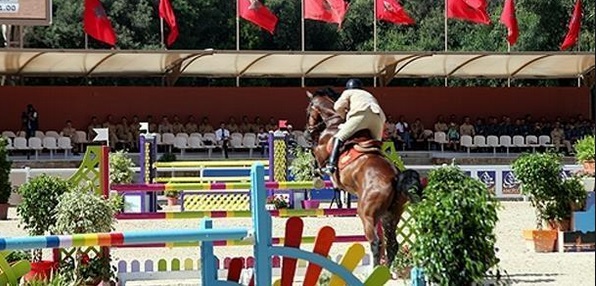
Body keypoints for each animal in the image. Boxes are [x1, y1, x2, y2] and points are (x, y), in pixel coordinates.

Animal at [302, 87, 424, 268]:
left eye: (308, 110)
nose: (306, 134)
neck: (334, 123)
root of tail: (395, 177)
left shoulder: (321, 150)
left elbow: (314, 155)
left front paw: (316, 173)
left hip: (367, 214)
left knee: (376, 242)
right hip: (391, 215)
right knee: (392, 244)